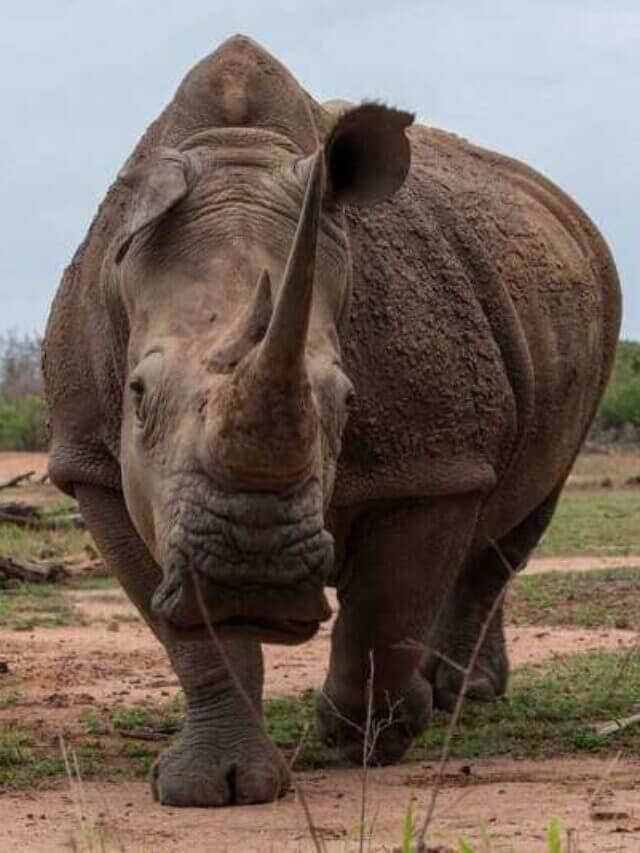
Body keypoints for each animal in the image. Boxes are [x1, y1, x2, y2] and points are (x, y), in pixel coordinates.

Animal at [44, 35, 621, 807]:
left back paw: (459, 696)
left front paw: (369, 738)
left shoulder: (433, 461)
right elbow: (191, 637)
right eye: (136, 394)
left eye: (347, 399)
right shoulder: (92, 461)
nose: (251, 574)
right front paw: (213, 785)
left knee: (519, 513)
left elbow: (385, 606)